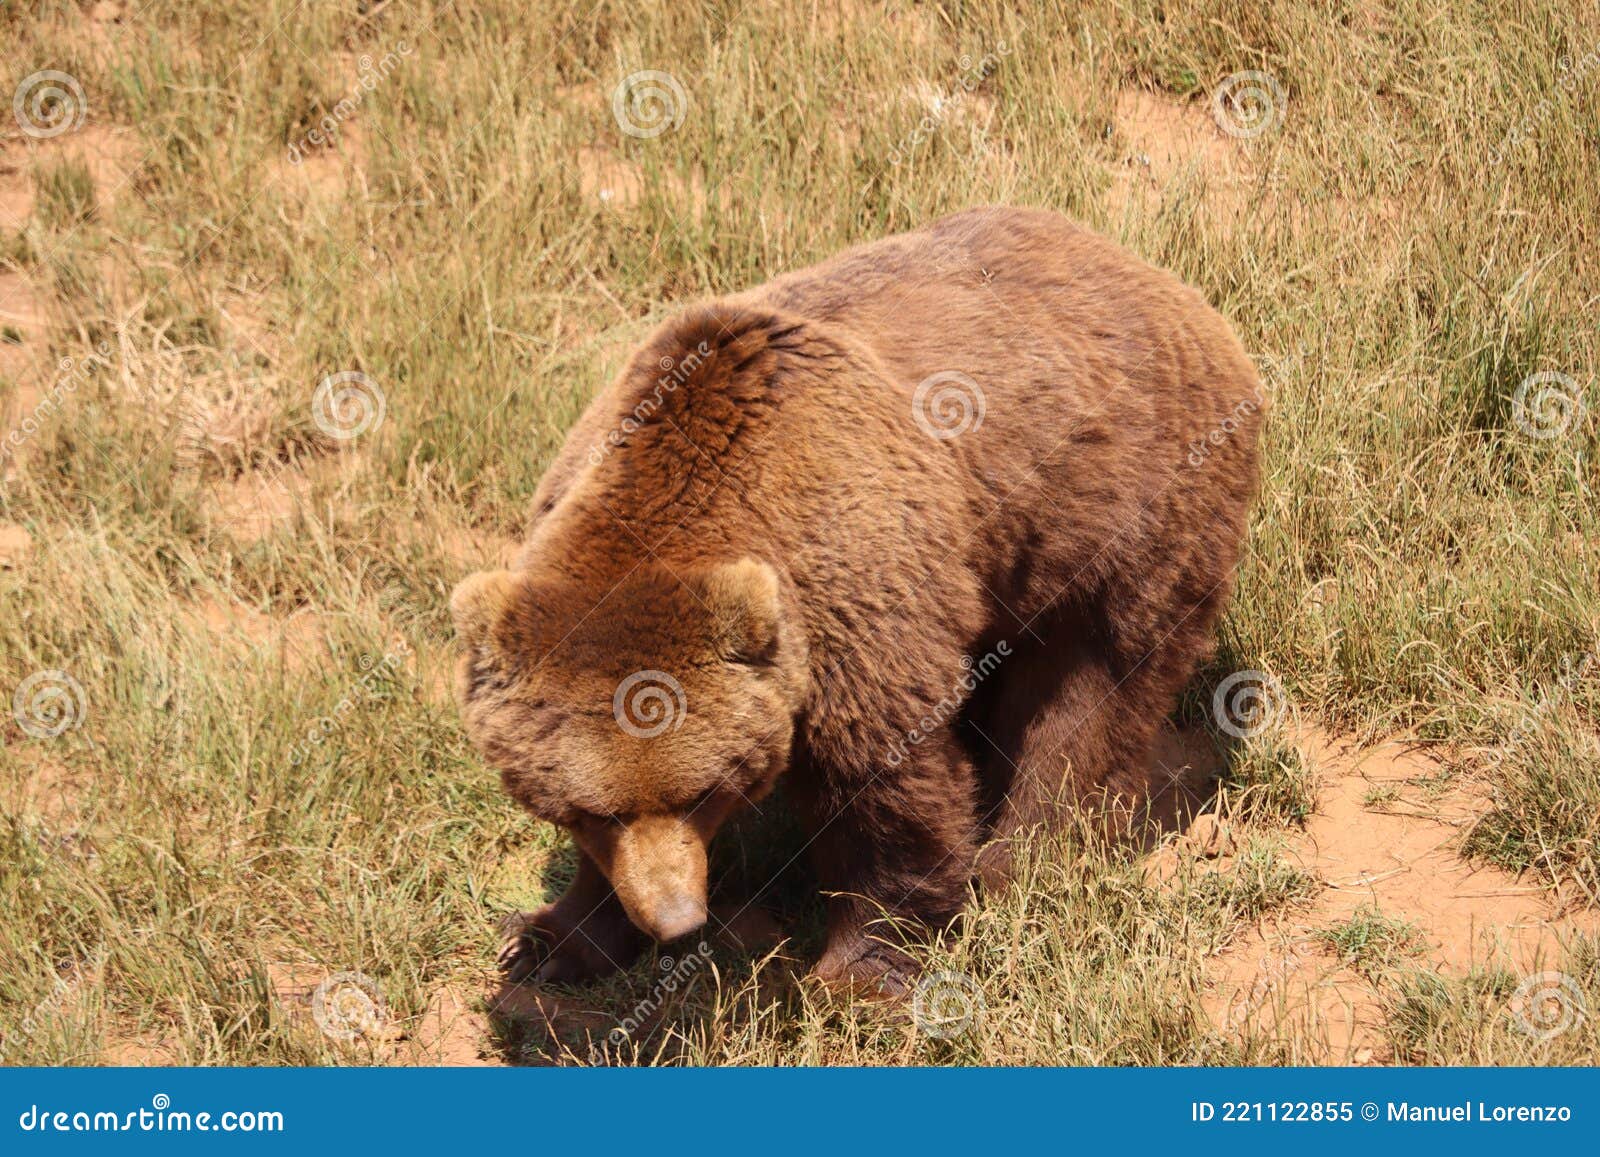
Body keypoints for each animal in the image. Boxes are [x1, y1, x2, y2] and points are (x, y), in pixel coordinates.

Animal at [451, 206, 1260, 985]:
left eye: (703, 792)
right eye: (596, 811)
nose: (676, 920)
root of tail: (1166, 284)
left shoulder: (855, 585)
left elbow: (883, 784)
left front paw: (861, 972)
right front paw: (549, 939)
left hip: (1126, 509)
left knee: (1093, 692)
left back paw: (1024, 864)